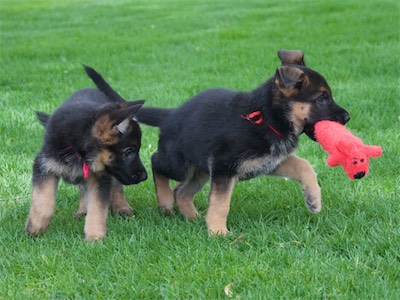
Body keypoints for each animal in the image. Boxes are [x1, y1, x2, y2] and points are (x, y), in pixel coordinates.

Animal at [26, 65, 148, 241]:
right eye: (128, 152)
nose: (145, 176)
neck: (78, 149)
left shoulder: (100, 177)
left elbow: (97, 208)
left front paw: (95, 238)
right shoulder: (44, 166)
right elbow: (43, 202)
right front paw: (35, 229)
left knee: (115, 187)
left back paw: (122, 207)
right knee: (84, 189)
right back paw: (83, 209)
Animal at [91, 50, 350, 236]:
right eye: (322, 98)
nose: (347, 118)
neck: (266, 116)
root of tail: (172, 114)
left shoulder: (269, 161)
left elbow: (305, 165)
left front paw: (313, 200)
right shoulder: (225, 167)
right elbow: (220, 203)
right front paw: (218, 233)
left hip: (201, 170)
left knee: (182, 191)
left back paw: (192, 217)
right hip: (180, 164)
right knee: (156, 163)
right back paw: (165, 202)